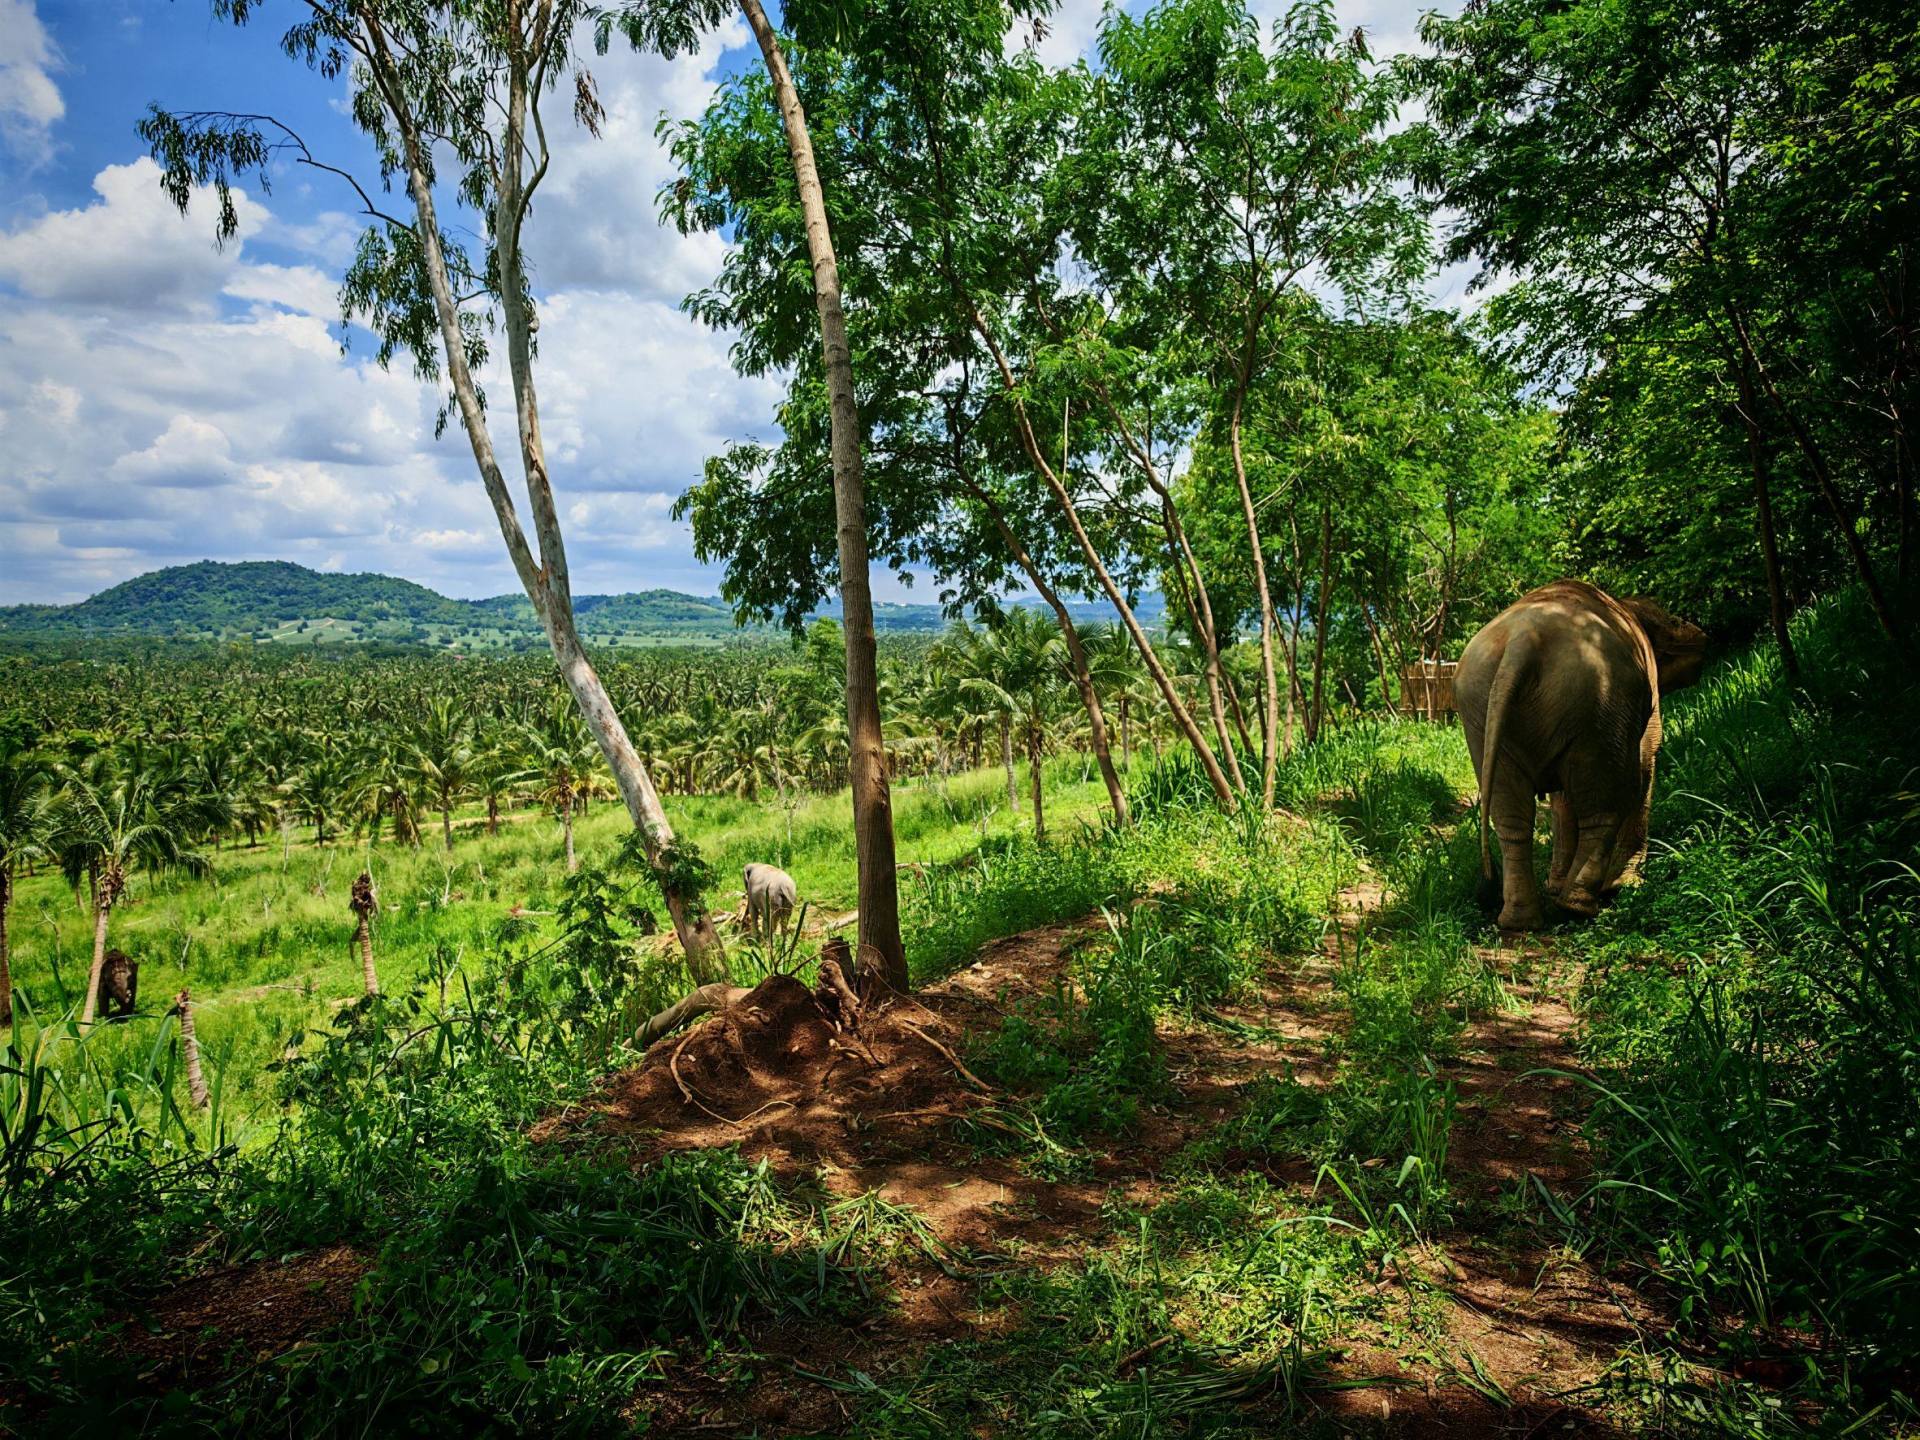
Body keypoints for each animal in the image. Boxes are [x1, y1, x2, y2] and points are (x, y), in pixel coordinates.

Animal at [1456, 580, 1707, 931]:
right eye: (1672, 621)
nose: (1702, 635)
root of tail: (1522, 641)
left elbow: (1562, 796)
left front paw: (1556, 885)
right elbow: (1646, 760)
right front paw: (1626, 886)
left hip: (1482, 711)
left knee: (1512, 818)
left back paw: (1521, 921)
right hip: (1598, 702)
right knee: (1605, 801)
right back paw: (1580, 907)